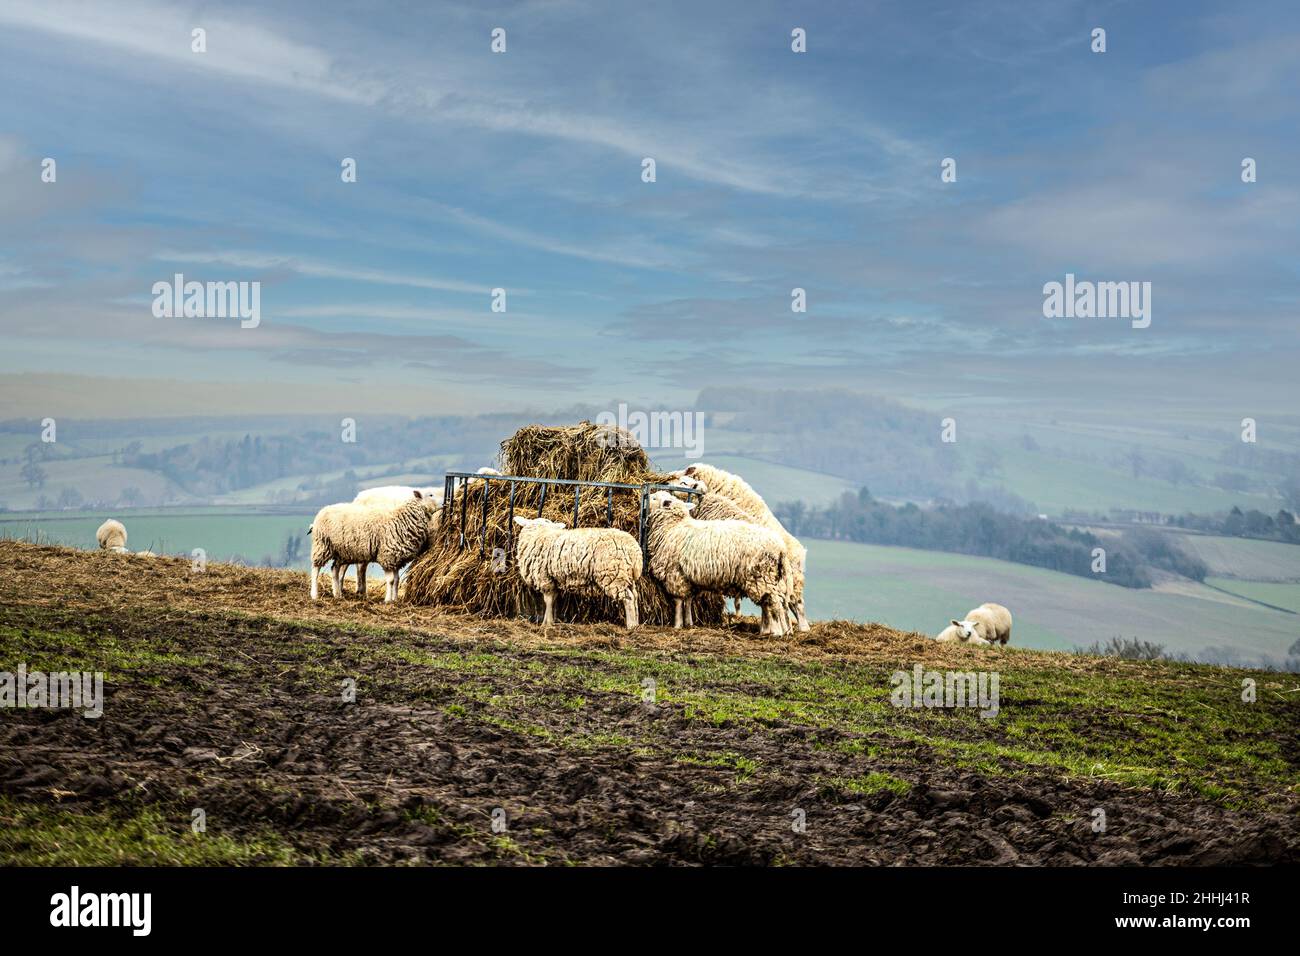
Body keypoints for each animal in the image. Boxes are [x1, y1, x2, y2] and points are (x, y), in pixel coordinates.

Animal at [308, 489, 436, 600]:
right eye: (430, 495)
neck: (401, 520)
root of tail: (323, 510)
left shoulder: (396, 559)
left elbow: (396, 580)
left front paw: (395, 599)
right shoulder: (387, 555)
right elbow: (391, 580)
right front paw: (388, 600)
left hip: (342, 551)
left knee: (335, 569)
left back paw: (337, 594)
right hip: (322, 544)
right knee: (316, 569)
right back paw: (314, 594)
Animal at [512, 515, 644, 629]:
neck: (540, 533)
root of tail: (634, 551)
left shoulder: (545, 578)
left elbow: (548, 600)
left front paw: (547, 623)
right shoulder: (553, 580)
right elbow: (553, 599)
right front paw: (550, 621)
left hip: (613, 576)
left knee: (628, 599)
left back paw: (630, 626)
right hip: (627, 576)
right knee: (635, 596)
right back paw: (636, 624)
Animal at [642, 494, 785, 634]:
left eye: (654, 498)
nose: (648, 496)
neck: (672, 526)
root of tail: (780, 547)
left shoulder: (675, 574)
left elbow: (678, 601)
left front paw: (677, 625)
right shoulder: (689, 578)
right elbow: (688, 601)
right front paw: (689, 623)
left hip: (761, 575)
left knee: (772, 603)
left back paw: (774, 631)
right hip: (765, 579)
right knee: (767, 603)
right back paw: (764, 630)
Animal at [676, 468, 806, 632]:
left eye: (684, 482)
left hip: (768, 578)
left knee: (786, 604)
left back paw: (784, 629)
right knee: (779, 604)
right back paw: (780, 629)